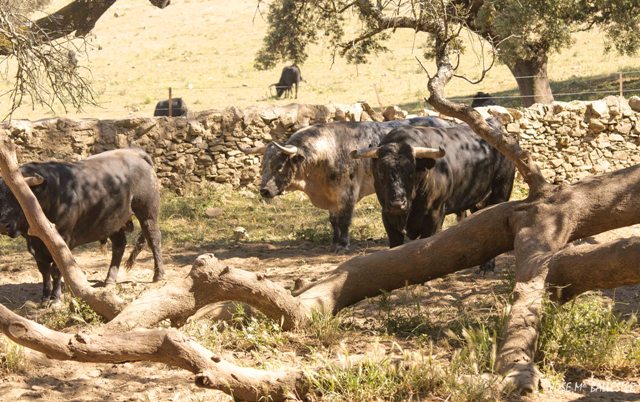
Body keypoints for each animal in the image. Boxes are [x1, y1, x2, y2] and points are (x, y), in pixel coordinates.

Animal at [0, 148, 164, 302]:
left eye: (17, 197)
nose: (3, 225)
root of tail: (134, 151)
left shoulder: (62, 238)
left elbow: (57, 270)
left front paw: (55, 298)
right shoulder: (34, 245)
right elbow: (44, 271)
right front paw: (45, 298)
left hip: (147, 212)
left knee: (153, 238)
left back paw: (158, 275)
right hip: (113, 220)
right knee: (119, 245)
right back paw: (109, 280)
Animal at [236, 116, 450, 250]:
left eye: (279, 165)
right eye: (263, 165)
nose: (264, 190)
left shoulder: (347, 194)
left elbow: (344, 220)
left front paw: (343, 244)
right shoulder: (332, 198)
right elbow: (334, 221)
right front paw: (334, 242)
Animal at [350, 119, 516, 270]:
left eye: (411, 173)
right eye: (381, 174)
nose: (397, 204)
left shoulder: (435, 214)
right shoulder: (387, 214)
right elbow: (395, 246)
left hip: (501, 191)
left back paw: (487, 266)